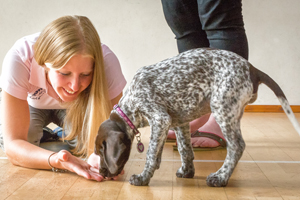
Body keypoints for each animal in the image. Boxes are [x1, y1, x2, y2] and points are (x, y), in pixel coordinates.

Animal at [94, 48, 300, 188]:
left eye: (100, 153)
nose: (102, 172)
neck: (130, 104)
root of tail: (252, 68)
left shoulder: (160, 118)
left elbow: (151, 154)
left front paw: (143, 178)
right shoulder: (179, 122)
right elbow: (185, 150)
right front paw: (187, 172)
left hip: (222, 108)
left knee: (237, 146)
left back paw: (220, 178)